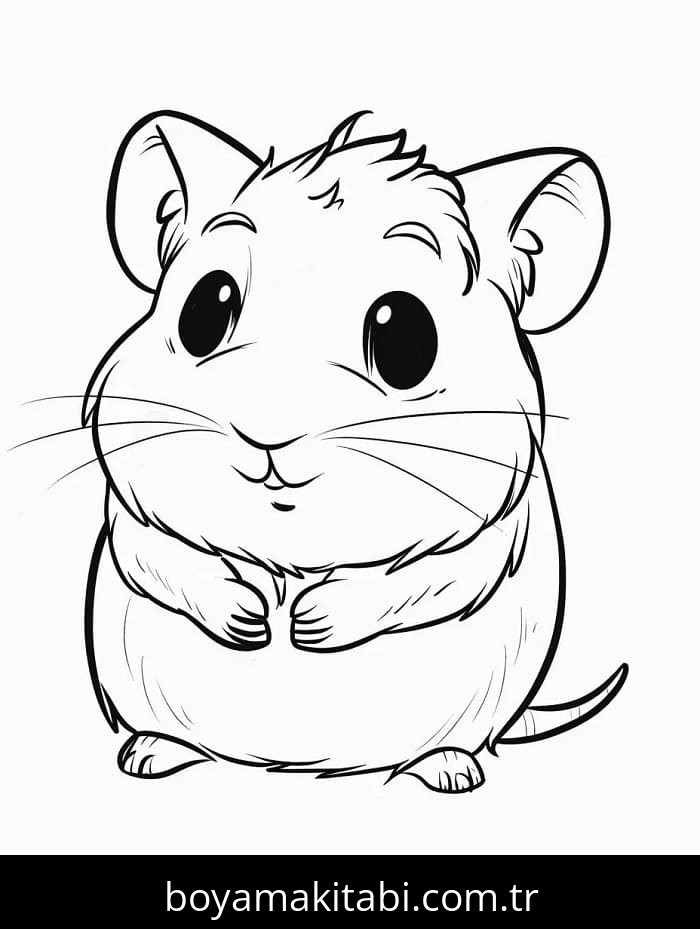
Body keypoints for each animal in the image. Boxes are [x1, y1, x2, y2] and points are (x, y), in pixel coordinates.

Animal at [84, 110, 626, 792]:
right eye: (205, 308)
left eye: (405, 336)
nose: (265, 434)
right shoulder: (128, 511)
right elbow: (157, 556)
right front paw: (252, 619)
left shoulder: (497, 530)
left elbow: (435, 577)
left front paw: (308, 624)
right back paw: (151, 754)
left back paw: (449, 770)